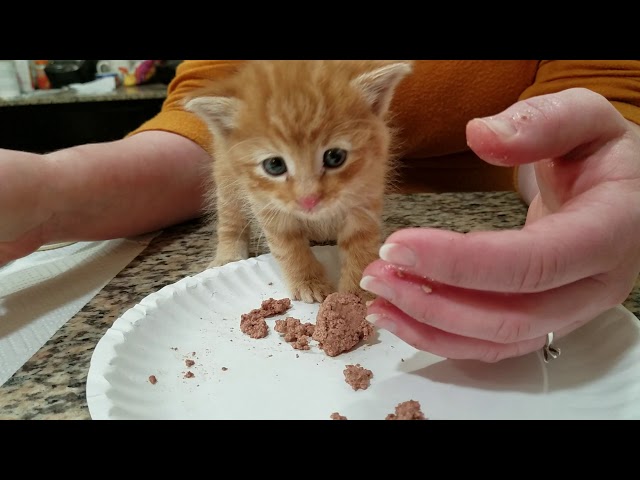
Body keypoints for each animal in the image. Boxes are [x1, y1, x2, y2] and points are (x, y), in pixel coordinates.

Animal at [184, 60, 413, 303]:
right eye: (274, 165)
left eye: (335, 157)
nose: (308, 200)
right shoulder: (266, 202)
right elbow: (287, 244)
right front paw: (308, 281)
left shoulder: (367, 189)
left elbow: (361, 241)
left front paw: (357, 292)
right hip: (226, 174)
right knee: (229, 214)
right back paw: (227, 255)